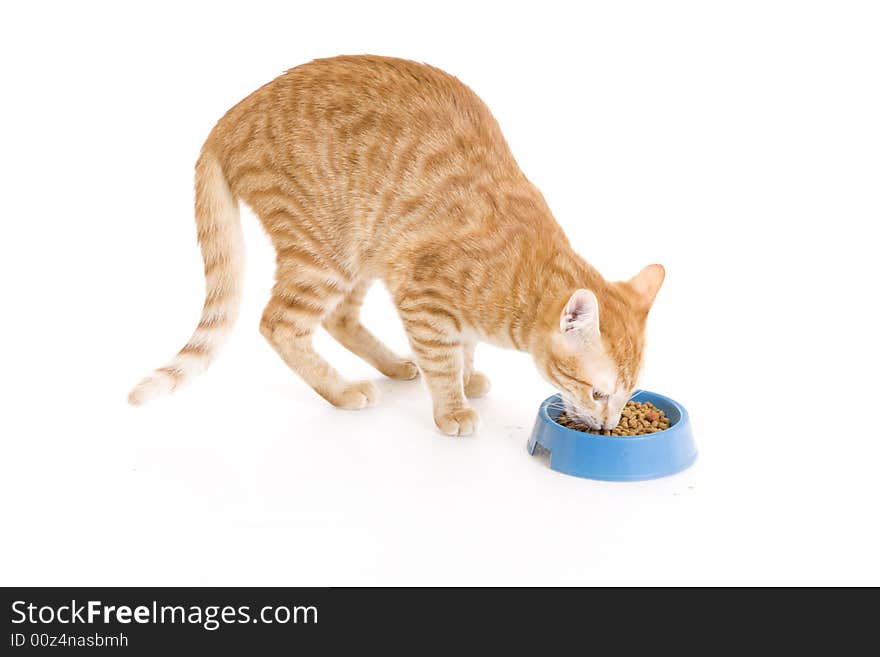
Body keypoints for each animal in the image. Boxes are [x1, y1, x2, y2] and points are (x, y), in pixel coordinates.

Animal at [131, 56, 664, 436]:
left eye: (628, 394)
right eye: (599, 394)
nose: (610, 425)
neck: (522, 274)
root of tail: (230, 117)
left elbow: (463, 347)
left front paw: (468, 375)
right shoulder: (421, 295)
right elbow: (442, 357)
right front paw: (452, 407)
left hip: (363, 251)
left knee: (339, 318)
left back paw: (390, 364)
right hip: (324, 249)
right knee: (280, 324)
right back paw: (343, 391)